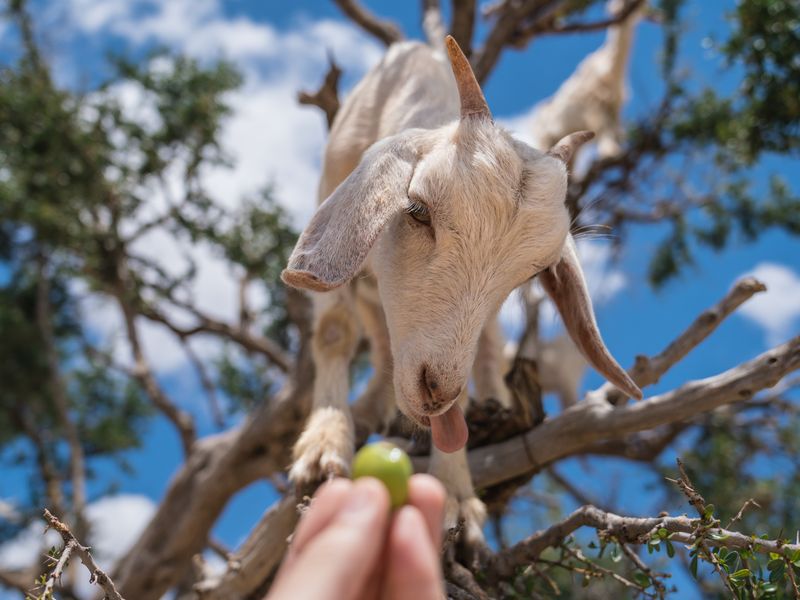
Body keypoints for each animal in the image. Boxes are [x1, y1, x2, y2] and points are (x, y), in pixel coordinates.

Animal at [282, 37, 641, 543]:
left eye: (531, 274)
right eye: (416, 210)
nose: (435, 391)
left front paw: (452, 492)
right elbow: (334, 331)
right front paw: (324, 443)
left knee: (483, 360)